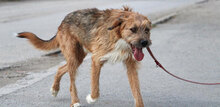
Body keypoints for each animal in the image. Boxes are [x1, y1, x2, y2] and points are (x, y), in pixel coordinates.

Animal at [16, 6, 151, 107]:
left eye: (147, 29)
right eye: (133, 29)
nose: (145, 42)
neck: (118, 35)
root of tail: (62, 21)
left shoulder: (131, 65)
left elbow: (137, 92)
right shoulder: (96, 59)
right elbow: (95, 89)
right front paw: (91, 98)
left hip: (78, 58)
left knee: (60, 69)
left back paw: (55, 89)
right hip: (73, 57)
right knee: (71, 84)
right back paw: (75, 101)